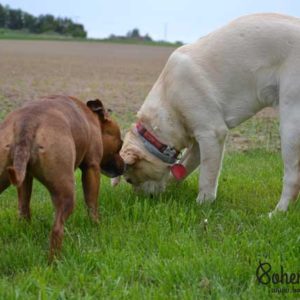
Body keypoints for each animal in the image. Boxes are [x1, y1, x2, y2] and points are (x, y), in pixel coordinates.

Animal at [0, 95, 124, 258]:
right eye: (120, 144)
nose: (124, 166)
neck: (92, 119)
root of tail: (27, 123)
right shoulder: (91, 168)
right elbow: (92, 203)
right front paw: (96, 225)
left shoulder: (26, 178)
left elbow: (24, 203)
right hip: (66, 192)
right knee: (57, 229)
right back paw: (56, 260)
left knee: (24, 211)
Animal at [120, 13, 300, 213]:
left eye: (130, 179)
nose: (144, 200)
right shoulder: (199, 143)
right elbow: (185, 166)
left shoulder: (211, 134)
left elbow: (206, 176)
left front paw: (203, 203)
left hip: (290, 123)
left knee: (293, 178)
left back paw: (278, 212)